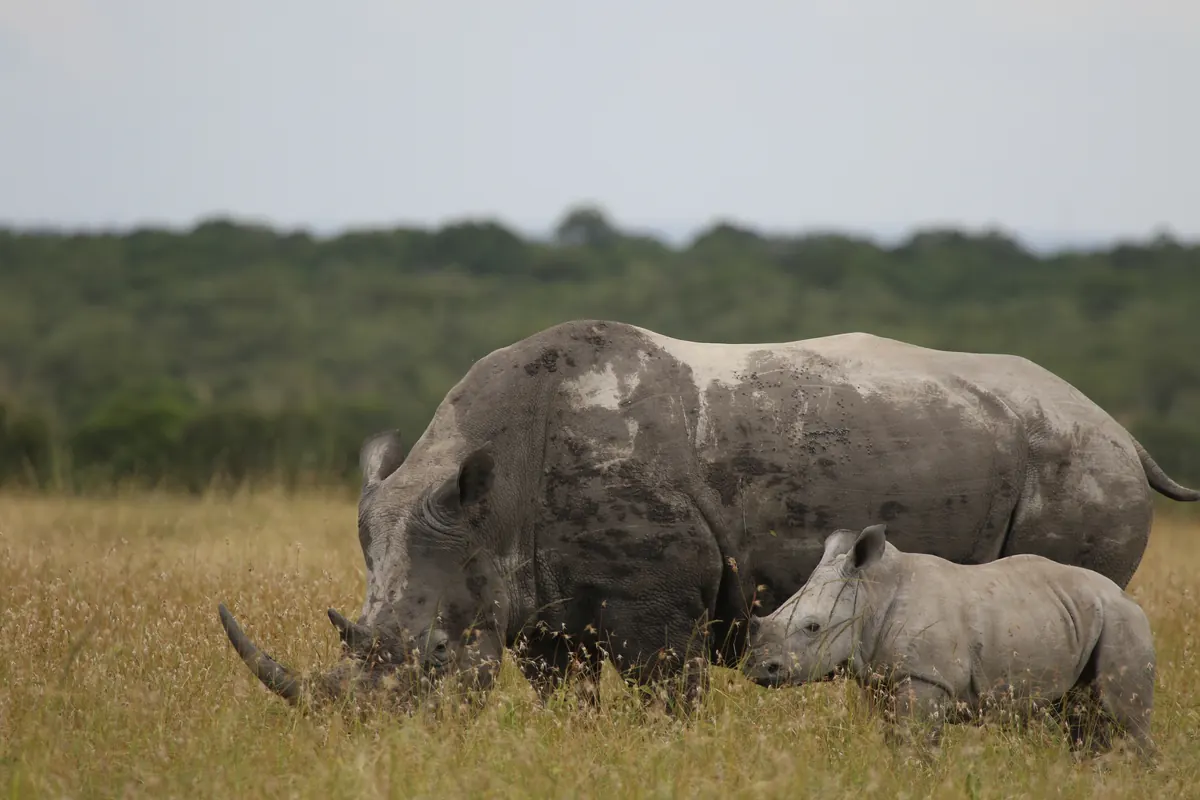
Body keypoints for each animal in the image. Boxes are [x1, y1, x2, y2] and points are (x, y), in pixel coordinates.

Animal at [216, 319, 1196, 712]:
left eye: (434, 656)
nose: (371, 735)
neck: (492, 497)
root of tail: (1122, 429)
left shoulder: (657, 609)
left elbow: (664, 701)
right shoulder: (540, 612)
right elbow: (569, 700)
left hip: (1080, 462)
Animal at [743, 524, 1156, 762]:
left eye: (812, 628)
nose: (758, 669)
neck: (871, 593)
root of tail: (1127, 596)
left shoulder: (927, 677)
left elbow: (916, 744)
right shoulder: (884, 679)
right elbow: (897, 740)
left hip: (1124, 622)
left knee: (1125, 719)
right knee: (1082, 719)